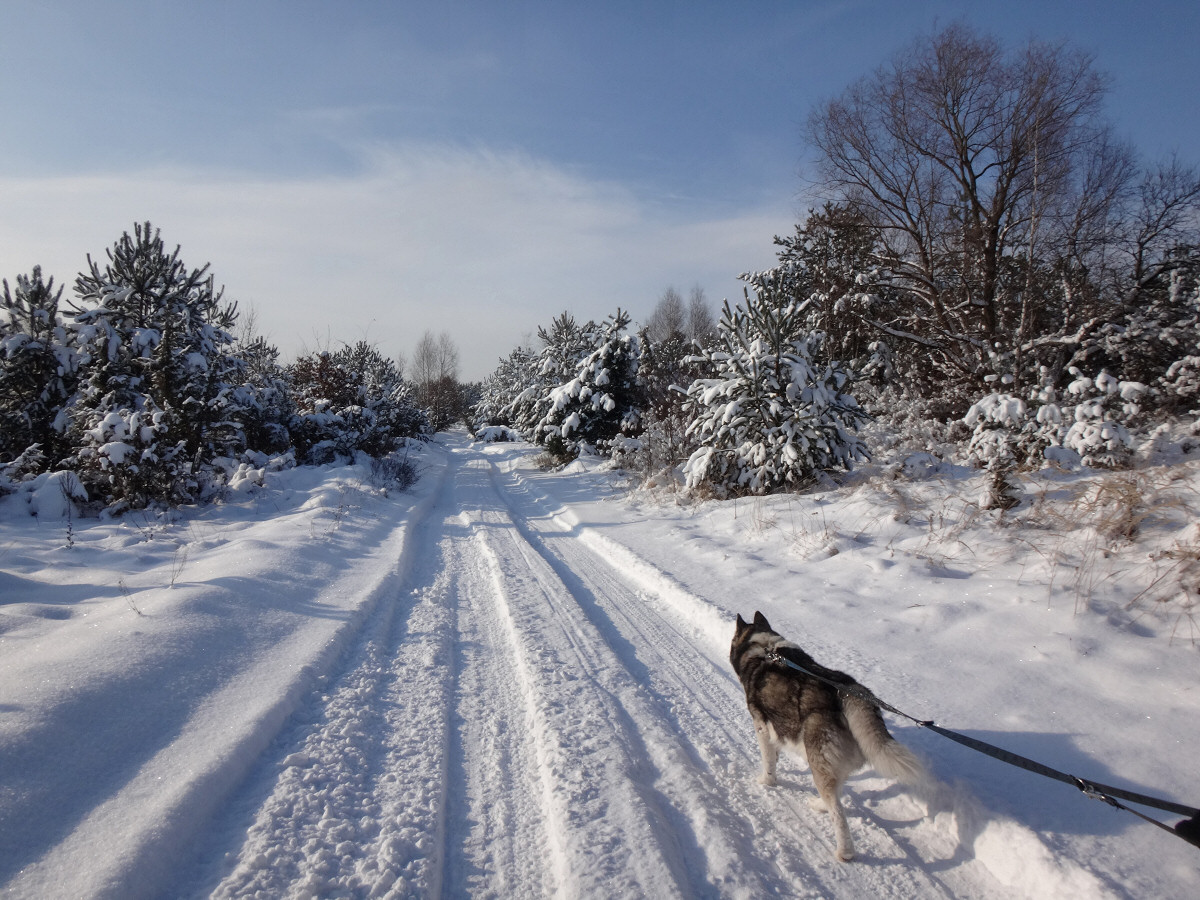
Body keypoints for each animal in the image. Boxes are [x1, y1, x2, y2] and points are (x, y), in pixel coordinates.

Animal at [724, 614, 921, 859]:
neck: (763, 648)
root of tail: (849, 693)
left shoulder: (761, 726)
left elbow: (768, 762)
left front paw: (766, 781)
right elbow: (776, 752)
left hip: (819, 761)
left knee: (838, 813)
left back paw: (844, 852)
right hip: (831, 763)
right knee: (835, 792)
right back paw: (820, 805)